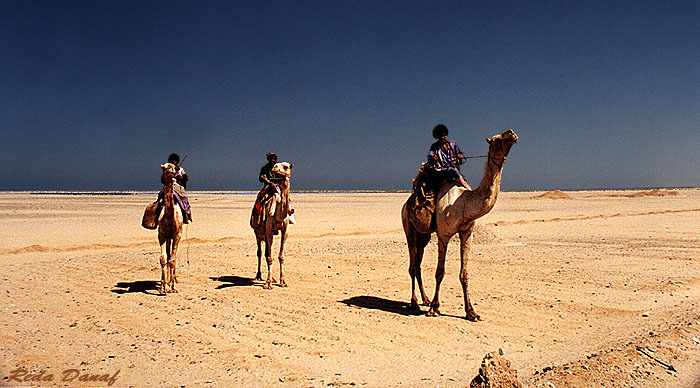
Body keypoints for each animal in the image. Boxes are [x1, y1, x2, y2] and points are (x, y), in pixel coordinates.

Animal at [250, 162, 294, 290]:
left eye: (286, 167)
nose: (274, 167)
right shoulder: (269, 229)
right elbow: (269, 257)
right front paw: (268, 283)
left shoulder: (285, 230)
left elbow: (280, 256)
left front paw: (282, 281)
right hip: (258, 233)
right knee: (260, 253)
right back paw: (259, 276)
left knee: (265, 252)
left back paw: (273, 278)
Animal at [402, 129, 516, 320]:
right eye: (496, 139)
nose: (511, 133)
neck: (463, 203)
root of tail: (406, 203)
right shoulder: (444, 234)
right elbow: (440, 272)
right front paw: (435, 308)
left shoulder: (467, 232)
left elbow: (465, 274)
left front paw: (471, 312)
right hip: (408, 227)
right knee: (412, 265)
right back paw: (415, 302)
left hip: (423, 234)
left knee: (417, 264)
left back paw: (424, 299)